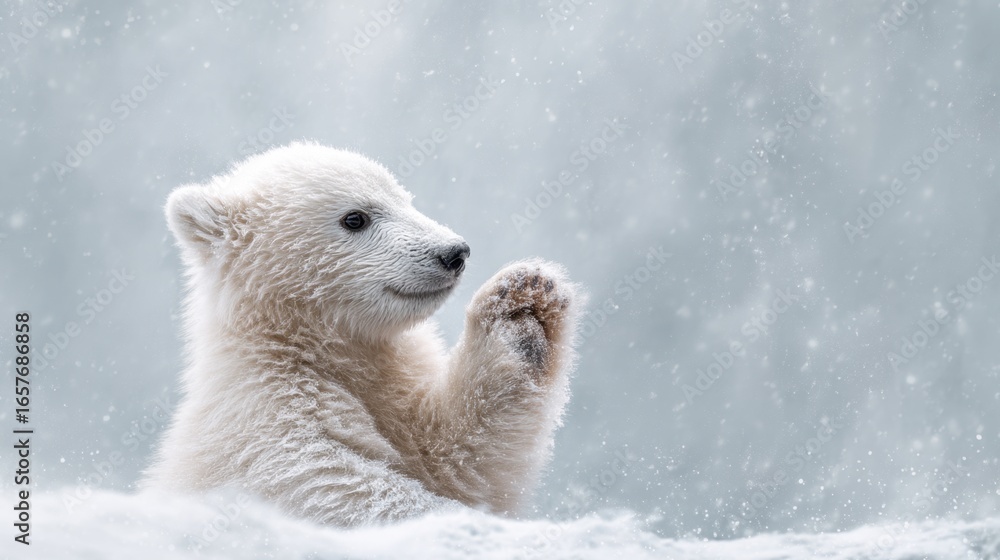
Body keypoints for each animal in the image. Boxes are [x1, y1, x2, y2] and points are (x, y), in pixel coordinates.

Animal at [143, 142, 583, 527]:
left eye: (404, 198)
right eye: (355, 218)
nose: (454, 252)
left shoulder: (396, 382)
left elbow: (459, 459)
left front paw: (523, 303)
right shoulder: (264, 418)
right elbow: (331, 485)